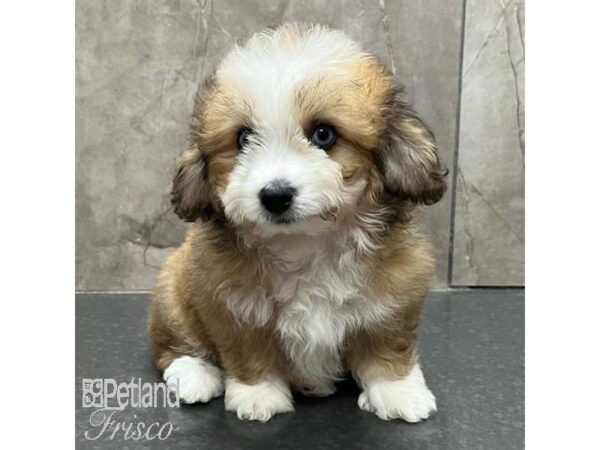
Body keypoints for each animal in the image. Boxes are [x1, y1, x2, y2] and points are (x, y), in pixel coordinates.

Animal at [146, 22, 446, 424]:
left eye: (323, 134)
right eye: (243, 138)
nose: (275, 195)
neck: (305, 243)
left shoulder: (396, 293)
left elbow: (387, 342)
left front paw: (397, 391)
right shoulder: (228, 303)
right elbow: (248, 348)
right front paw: (257, 395)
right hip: (171, 290)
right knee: (174, 344)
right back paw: (193, 374)